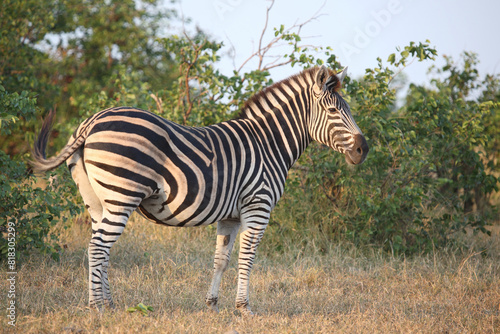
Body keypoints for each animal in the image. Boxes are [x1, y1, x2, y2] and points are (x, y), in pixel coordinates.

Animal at [31, 65, 368, 316]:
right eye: (333, 111)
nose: (363, 149)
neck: (269, 143)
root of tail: (91, 121)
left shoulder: (231, 215)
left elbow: (222, 259)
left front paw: (212, 305)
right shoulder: (258, 206)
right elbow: (247, 258)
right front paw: (244, 309)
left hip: (97, 200)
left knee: (99, 247)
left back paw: (110, 304)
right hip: (121, 196)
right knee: (98, 247)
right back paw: (97, 308)